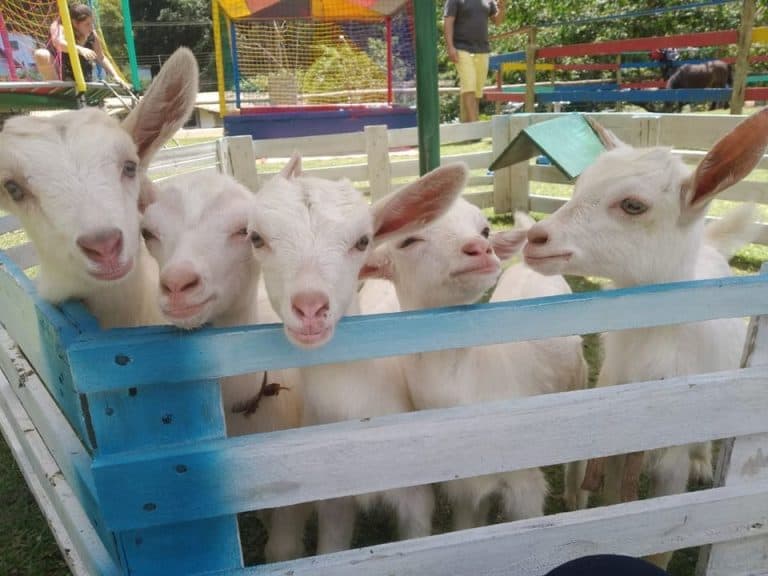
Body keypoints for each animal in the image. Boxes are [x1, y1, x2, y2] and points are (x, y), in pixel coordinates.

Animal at [364, 199, 588, 528]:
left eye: (485, 230)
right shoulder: (466, 490)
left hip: (579, 377)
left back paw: (575, 496)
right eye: (407, 240)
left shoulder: (525, 486)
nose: (480, 248)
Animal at [520, 109, 768, 568]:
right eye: (578, 186)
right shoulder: (618, 449)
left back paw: (704, 463)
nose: (536, 239)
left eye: (633, 205)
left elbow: (662, 543)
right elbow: (615, 507)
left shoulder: (669, 464)